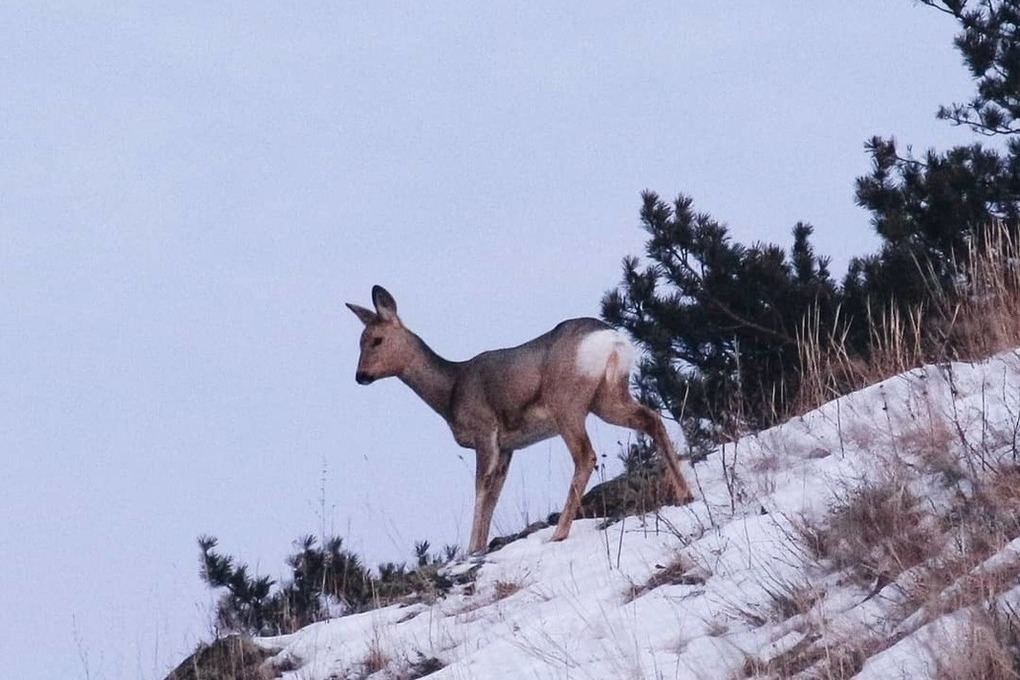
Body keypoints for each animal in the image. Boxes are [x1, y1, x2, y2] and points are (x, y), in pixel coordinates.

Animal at [344, 285, 693, 554]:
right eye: (359, 341)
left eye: (376, 339)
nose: (361, 376)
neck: (451, 390)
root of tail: (611, 339)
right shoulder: (508, 446)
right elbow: (494, 494)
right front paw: (480, 545)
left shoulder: (485, 432)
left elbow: (480, 488)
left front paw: (471, 549)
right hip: (608, 397)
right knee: (651, 419)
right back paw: (685, 493)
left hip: (567, 404)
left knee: (585, 455)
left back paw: (559, 532)